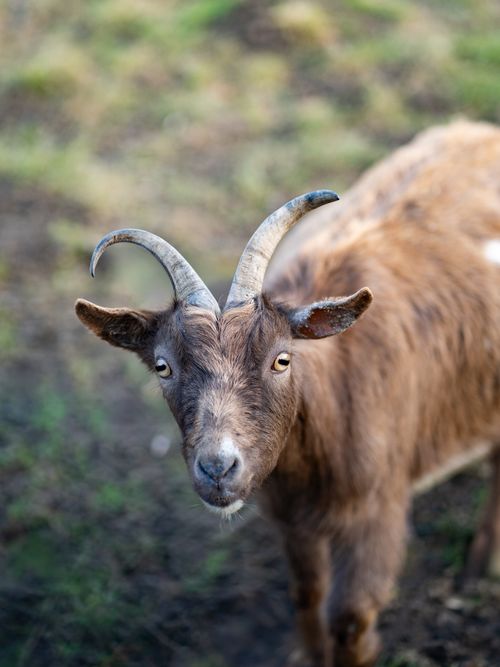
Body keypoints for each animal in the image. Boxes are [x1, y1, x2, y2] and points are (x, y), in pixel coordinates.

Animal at [76, 120, 500, 667]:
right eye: (163, 366)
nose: (218, 469)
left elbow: (350, 620)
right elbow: (307, 595)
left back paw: (477, 569)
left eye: (282, 359)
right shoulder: (292, 519)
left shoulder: (377, 513)